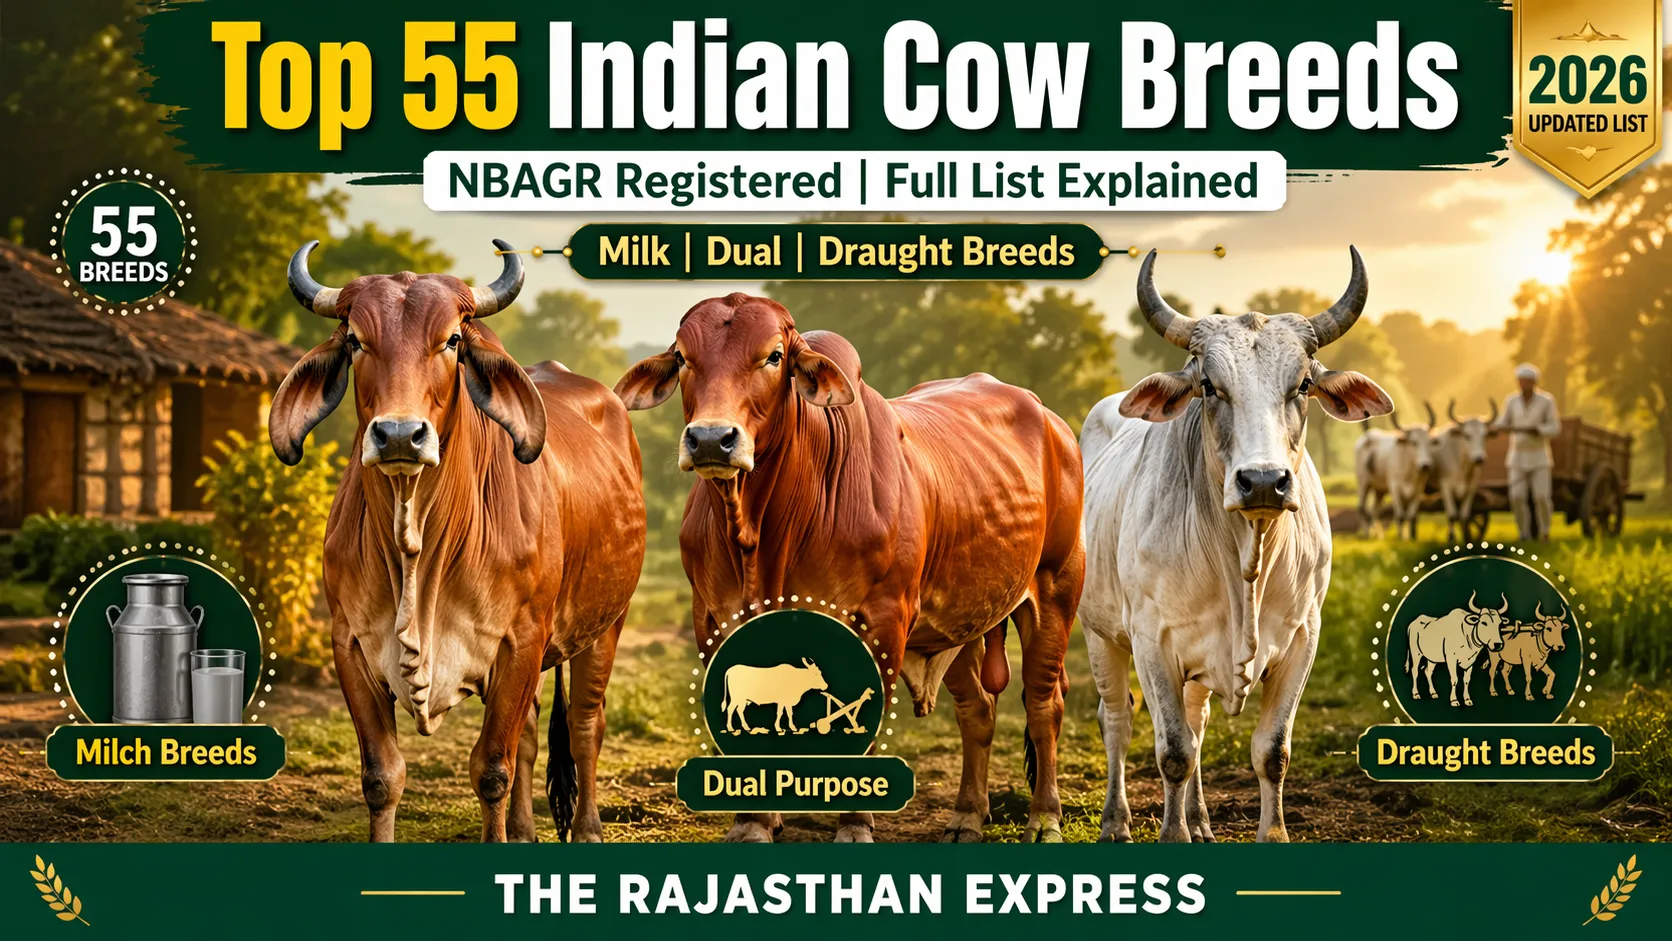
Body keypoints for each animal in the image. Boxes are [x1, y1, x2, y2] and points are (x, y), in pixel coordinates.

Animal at [269, 241, 647, 843]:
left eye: (450, 340)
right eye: (355, 340)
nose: (399, 434)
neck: (416, 547)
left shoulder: (521, 640)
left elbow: (491, 769)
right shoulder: (348, 643)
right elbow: (383, 776)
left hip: (606, 623)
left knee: (586, 723)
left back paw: (587, 828)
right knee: (531, 735)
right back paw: (523, 830)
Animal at [615, 293, 1085, 844]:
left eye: (774, 356)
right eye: (683, 357)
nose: (711, 440)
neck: (763, 536)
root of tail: (1053, 423)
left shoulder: (882, 618)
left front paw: (855, 824)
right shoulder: (711, 617)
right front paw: (754, 821)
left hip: (1055, 590)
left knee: (1044, 707)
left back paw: (1044, 818)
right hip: (961, 619)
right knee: (978, 712)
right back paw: (967, 816)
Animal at [1080, 247, 1395, 843]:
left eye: (1303, 384)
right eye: (1208, 385)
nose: (1264, 481)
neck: (1245, 559)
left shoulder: (1302, 637)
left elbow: (1271, 752)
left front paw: (1270, 834)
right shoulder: (1151, 639)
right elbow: (1173, 752)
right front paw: (1171, 836)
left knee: (1198, 721)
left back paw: (1202, 820)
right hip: (1097, 630)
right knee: (1118, 722)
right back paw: (1117, 822)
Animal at [1354, 405, 1437, 539]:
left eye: (1429, 442)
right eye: (1414, 442)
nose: (1426, 466)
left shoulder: (1418, 489)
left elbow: (1411, 515)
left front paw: (1409, 538)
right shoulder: (1395, 487)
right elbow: (1400, 515)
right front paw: (1401, 537)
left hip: (1379, 491)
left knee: (1375, 510)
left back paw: (1379, 535)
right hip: (1363, 483)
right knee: (1361, 507)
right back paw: (1368, 533)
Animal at [1432, 399, 1499, 541]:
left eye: (1485, 435)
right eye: (1467, 435)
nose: (1479, 459)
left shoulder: (1471, 488)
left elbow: (1464, 515)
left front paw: (1467, 538)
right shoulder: (1445, 486)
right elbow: (1452, 514)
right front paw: (1451, 537)